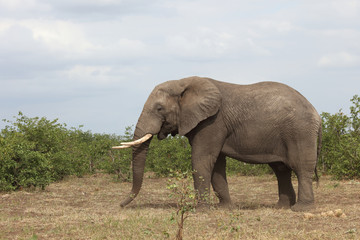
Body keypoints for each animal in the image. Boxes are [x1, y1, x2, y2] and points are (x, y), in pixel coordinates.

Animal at [114, 76, 322, 211]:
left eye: (159, 108)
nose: (121, 205)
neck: (184, 82)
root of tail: (316, 112)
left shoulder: (212, 122)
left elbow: (202, 159)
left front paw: (201, 211)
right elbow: (216, 164)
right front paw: (225, 209)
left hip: (300, 131)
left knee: (301, 168)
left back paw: (301, 209)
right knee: (281, 170)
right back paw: (281, 207)